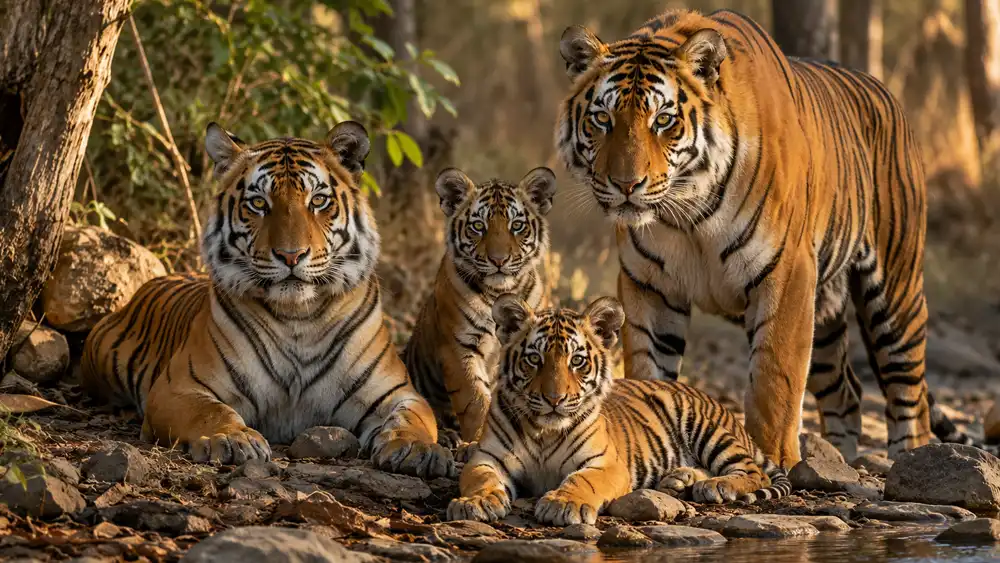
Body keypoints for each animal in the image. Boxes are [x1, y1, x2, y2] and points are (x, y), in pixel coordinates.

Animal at [81, 121, 454, 478]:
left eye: (318, 201)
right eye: (258, 203)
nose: (291, 256)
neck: (300, 318)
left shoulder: (396, 392)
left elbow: (414, 418)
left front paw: (418, 449)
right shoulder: (179, 387)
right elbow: (210, 411)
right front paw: (232, 438)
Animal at [404, 167, 556, 446]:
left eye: (516, 226)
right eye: (478, 226)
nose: (498, 260)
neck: (500, 292)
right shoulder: (459, 347)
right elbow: (475, 399)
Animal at [447, 295, 791, 526]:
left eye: (577, 360)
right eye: (534, 359)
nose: (554, 399)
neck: (545, 431)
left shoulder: (605, 464)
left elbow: (581, 481)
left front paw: (563, 503)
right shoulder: (486, 457)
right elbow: (479, 477)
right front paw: (475, 502)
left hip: (706, 429)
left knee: (754, 472)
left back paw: (716, 486)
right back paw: (679, 479)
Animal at [553, 8, 977, 466]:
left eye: (663, 120)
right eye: (602, 119)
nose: (626, 185)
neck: (688, 213)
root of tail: (886, 92)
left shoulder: (787, 276)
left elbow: (774, 383)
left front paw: (771, 460)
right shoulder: (648, 286)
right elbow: (651, 372)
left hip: (896, 292)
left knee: (909, 398)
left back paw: (910, 462)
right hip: (824, 313)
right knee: (846, 391)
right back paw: (834, 461)